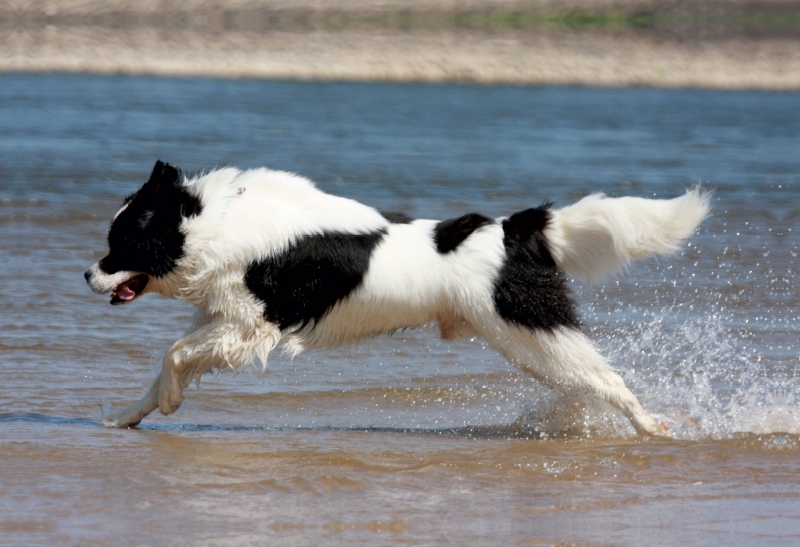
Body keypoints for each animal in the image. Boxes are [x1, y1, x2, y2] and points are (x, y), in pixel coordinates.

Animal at [86, 161, 712, 434]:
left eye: (119, 245)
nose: (87, 275)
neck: (207, 220)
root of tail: (513, 229)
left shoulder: (251, 326)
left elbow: (172, 356)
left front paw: (169, 404)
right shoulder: (222, 320)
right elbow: (167, 362)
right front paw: (128, 417)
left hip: (533, 336)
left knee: (609, 380)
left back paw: (653, 426)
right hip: (534, 348)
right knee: (587, 384)